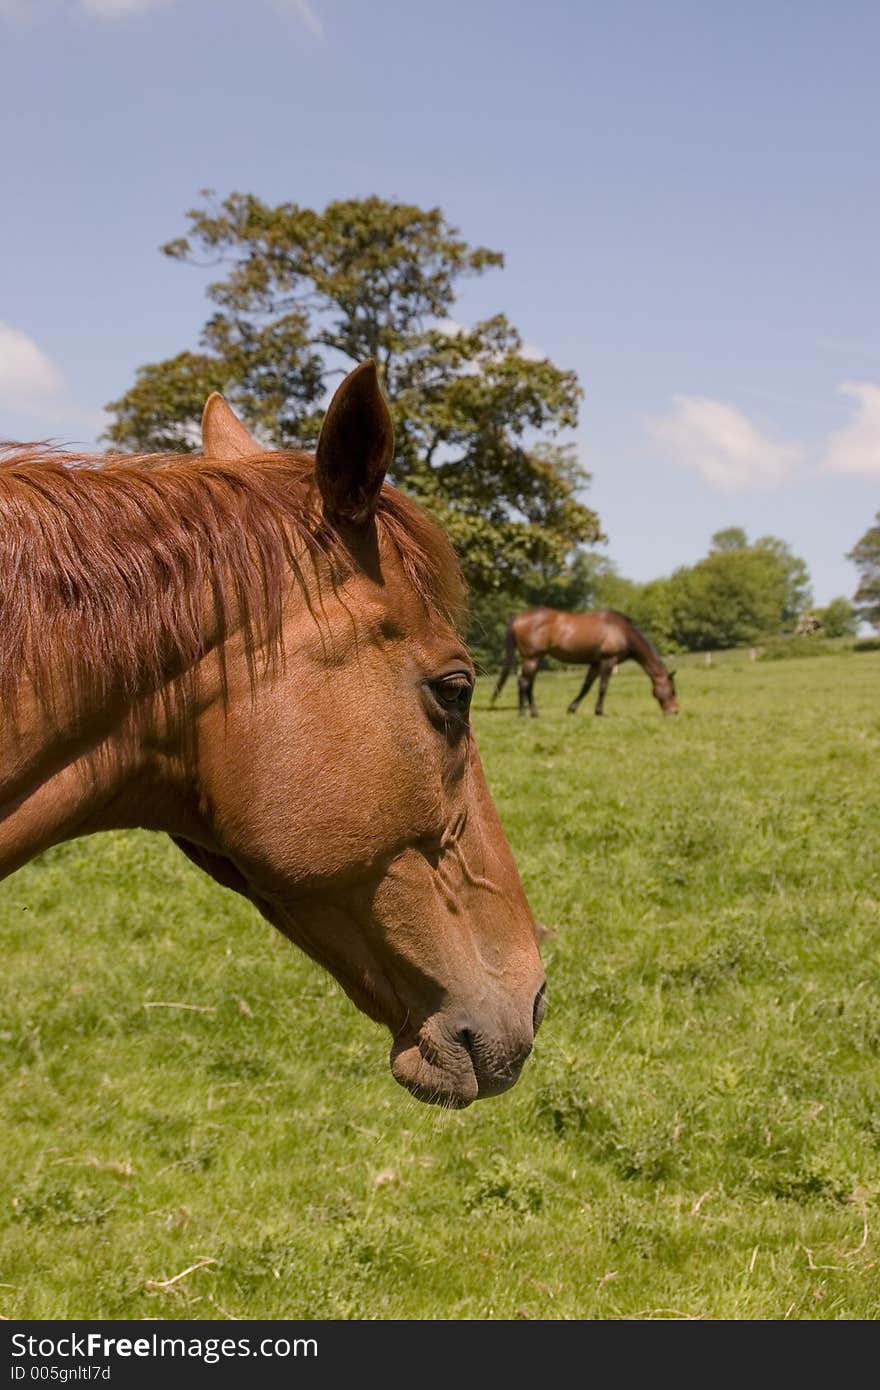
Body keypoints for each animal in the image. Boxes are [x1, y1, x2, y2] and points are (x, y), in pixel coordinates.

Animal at [486, 606, 678, 717]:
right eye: (673, 691)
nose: (674, 711)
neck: (622, 631)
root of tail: (519, 617)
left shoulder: (595, 663)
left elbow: (586, 687)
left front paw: (572, 709)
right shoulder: (608, 661)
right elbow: (603, 687)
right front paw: (599, 712)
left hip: (533, 659)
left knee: (526, 683)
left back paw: (527, 711)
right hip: (531, 658)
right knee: (524, 682)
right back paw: (528, 712)